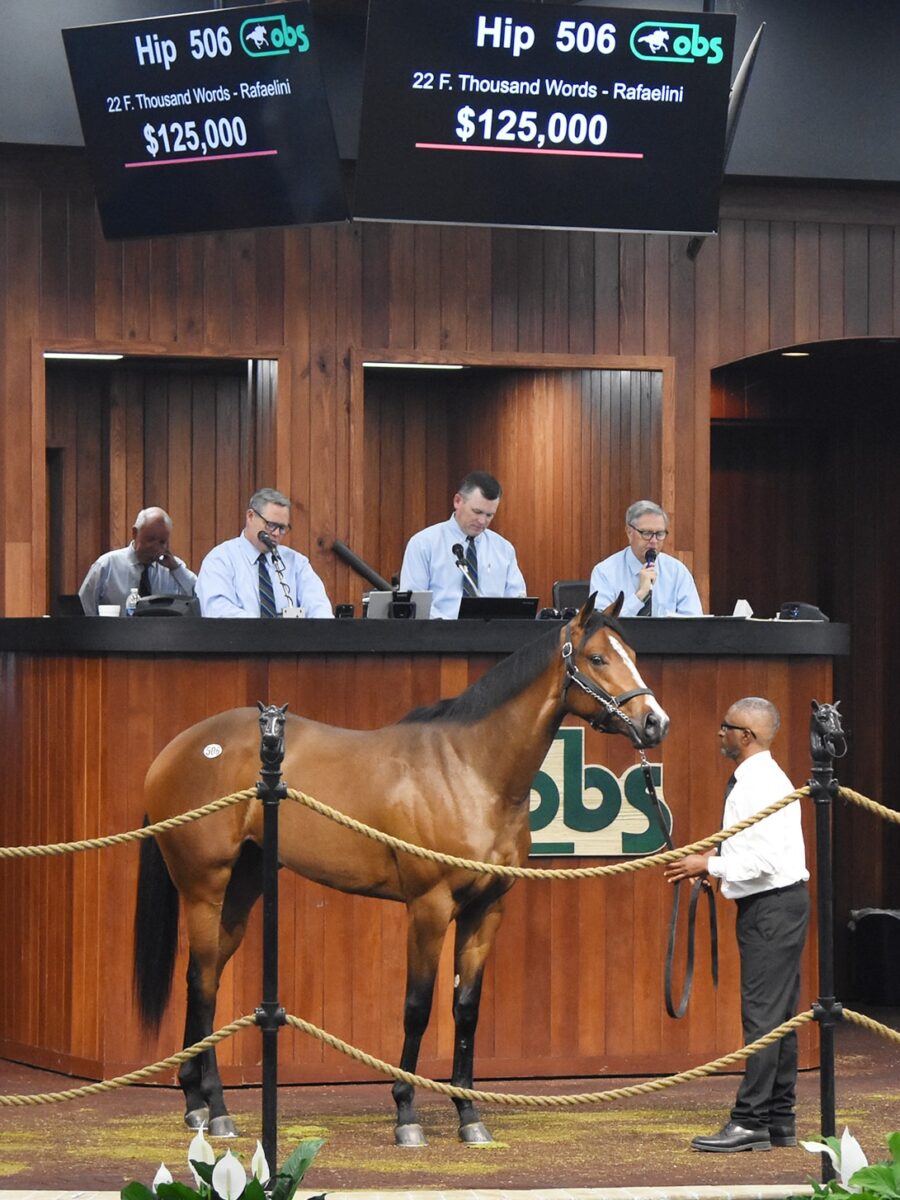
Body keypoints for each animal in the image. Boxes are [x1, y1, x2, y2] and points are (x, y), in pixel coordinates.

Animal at [133, 597, 672, 1142]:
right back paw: (218, 1108)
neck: (470, 771)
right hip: (205, 888)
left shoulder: (486, 910)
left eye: (631, 653)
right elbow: (417, 1007)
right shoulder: (428, 907)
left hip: (240, 893)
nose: (655, 723)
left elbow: (466, 1010)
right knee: (203, 984)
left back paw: (196, 1103)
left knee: (202, 980)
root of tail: (177, 749)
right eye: (598, 658)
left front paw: (469, 1116)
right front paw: (406, 1112)